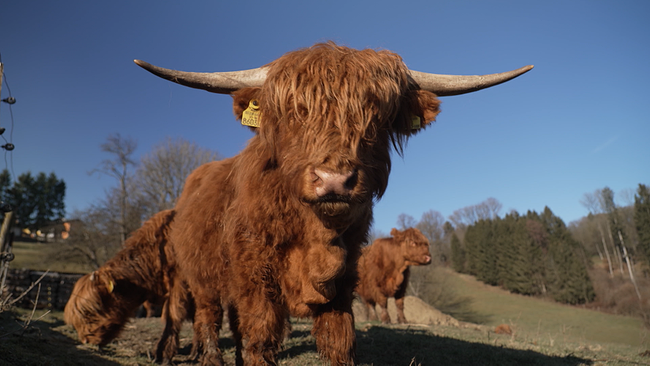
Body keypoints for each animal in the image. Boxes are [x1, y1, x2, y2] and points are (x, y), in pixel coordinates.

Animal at [134, 41, 528, 364]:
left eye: (376, 117)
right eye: (294, 113)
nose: (334, 180)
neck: (314, 234)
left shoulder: (345, 280)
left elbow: (341, 342)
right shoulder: (256, 280)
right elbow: (259, 338)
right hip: (199, 277)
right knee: (205, 316)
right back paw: (204, 356)